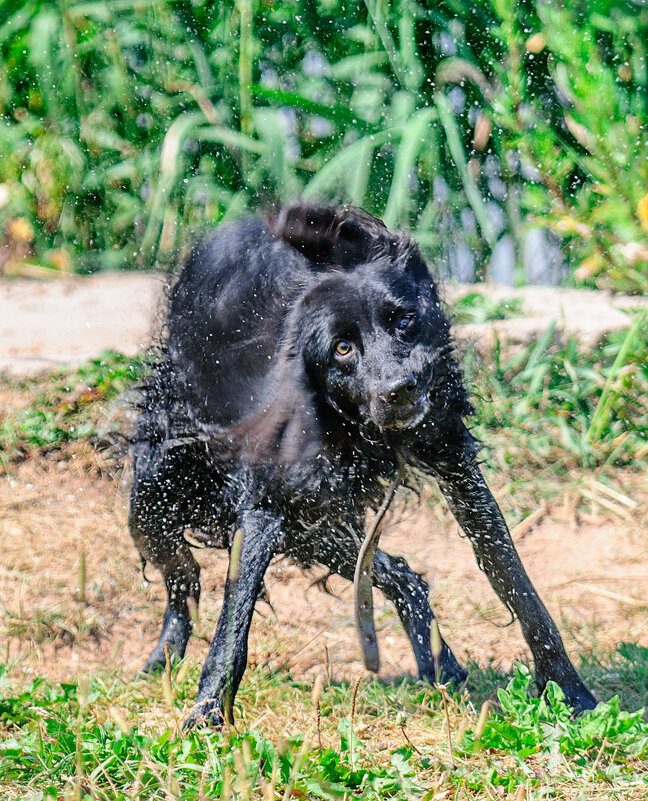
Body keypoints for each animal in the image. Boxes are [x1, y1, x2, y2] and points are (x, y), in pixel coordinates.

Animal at [128, 205, 596, 724]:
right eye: (342, 348)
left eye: (405, 320)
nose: (400, 389)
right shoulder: (267, 501)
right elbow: (234, 617)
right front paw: (209, 711)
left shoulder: (454, 462)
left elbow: (514, 580)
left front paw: (569, 691)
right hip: (157, 493)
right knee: (183, 581)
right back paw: (163, 662)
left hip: (311, 526)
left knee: (400, 575)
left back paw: (439, 666)